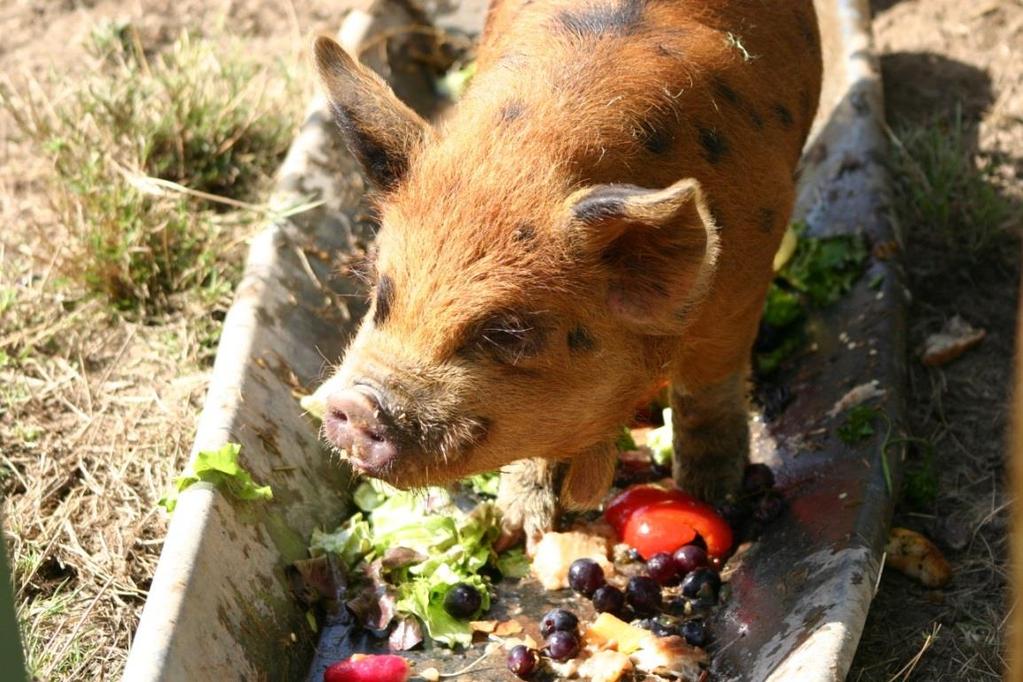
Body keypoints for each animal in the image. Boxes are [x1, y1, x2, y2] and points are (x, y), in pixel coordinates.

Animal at [310, 0, 822, 548]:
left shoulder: (747, 270)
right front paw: (520, 529)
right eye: (381, 293)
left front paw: (711, 497)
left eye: (506, 333)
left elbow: (706, 388)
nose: (354, 406)